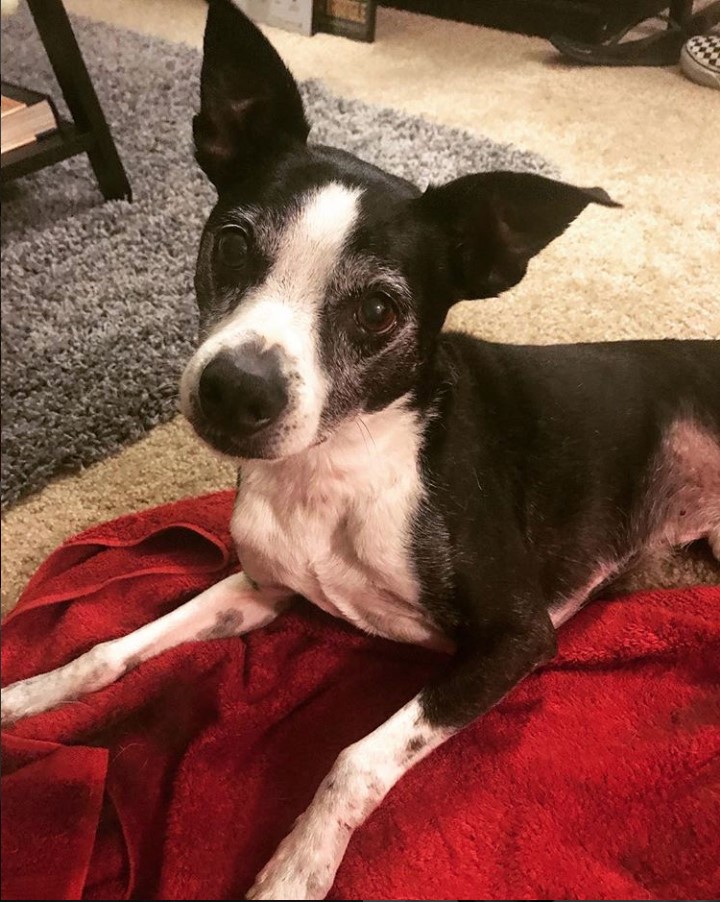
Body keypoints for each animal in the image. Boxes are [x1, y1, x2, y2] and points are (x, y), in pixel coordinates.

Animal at [1, 0, 720, 900]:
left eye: (379, 310)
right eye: (231, 245)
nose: (237, 389)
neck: (334, 465)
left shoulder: (518, 637)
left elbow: (354, 760)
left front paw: (294, 871)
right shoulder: (259, 588)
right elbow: (109, 650)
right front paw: (30, 695)